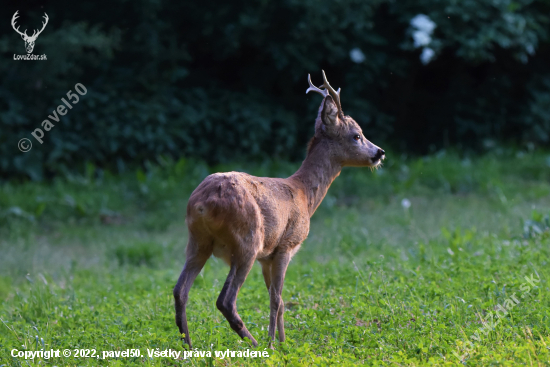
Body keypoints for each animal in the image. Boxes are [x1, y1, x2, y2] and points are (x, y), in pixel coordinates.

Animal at [175, 71, 386, 348]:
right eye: (357, 135)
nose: (380, 152)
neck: (304, 195)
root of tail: (202, 203)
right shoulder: (286, 246)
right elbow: (276, 299)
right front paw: (273, 343)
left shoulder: (267, 257)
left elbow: (281, 300)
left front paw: (284, 342)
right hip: (247, 241)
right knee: (225, 300)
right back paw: (254, 344)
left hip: (197, 241)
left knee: (180, 291)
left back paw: (187, 346)